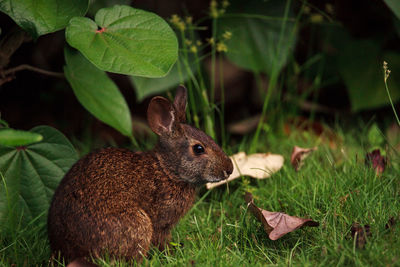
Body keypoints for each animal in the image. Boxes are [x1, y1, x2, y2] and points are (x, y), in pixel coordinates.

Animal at [47, 86, 233, 266]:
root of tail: (67, 249)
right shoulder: (161, 222)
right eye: (198, 149)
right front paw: (170, 255)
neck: (167, 171)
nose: (229, 169)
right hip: (137, 224)